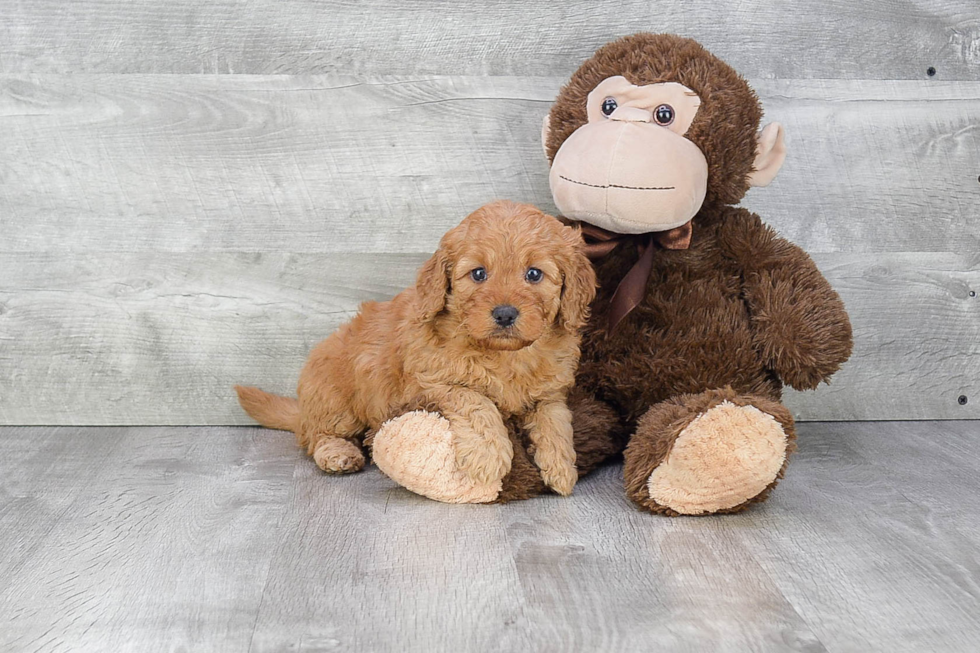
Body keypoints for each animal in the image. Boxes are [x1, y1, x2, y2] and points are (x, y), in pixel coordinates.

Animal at [235, 199, 596, 494]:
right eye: (478, 274)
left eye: (534, 274)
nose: (505, 313)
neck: (505, 355)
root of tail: (304, 408)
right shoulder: (432, 383)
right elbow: (476, 400)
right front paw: (488, 456)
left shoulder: (550, 392)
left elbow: (555, 420)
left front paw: (562, 468)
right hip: (336, 398)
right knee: (317, 436)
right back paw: (339, 453)